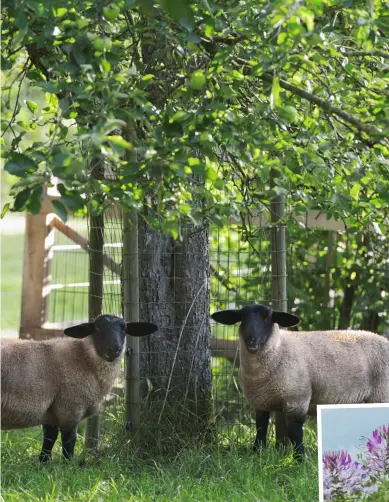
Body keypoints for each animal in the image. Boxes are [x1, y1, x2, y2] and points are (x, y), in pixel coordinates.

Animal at [1, 316, 158, 460]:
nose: (114, 350)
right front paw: (68, 464)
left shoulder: (51, 411)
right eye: (97, 328)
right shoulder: (70, 407)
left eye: (124, 328)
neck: (83, 357)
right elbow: (69, 440)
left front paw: (44, 461)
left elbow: (49, 438)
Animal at [211, 304, 388, 460]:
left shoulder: (296, 399)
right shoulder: (260, 402)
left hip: (382, 393)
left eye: (267, 317)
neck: (279, 349)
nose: (251, 341)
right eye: (242, 318)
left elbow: (295, 433)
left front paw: (299, 459)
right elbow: (260, 428)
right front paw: (257, 453)